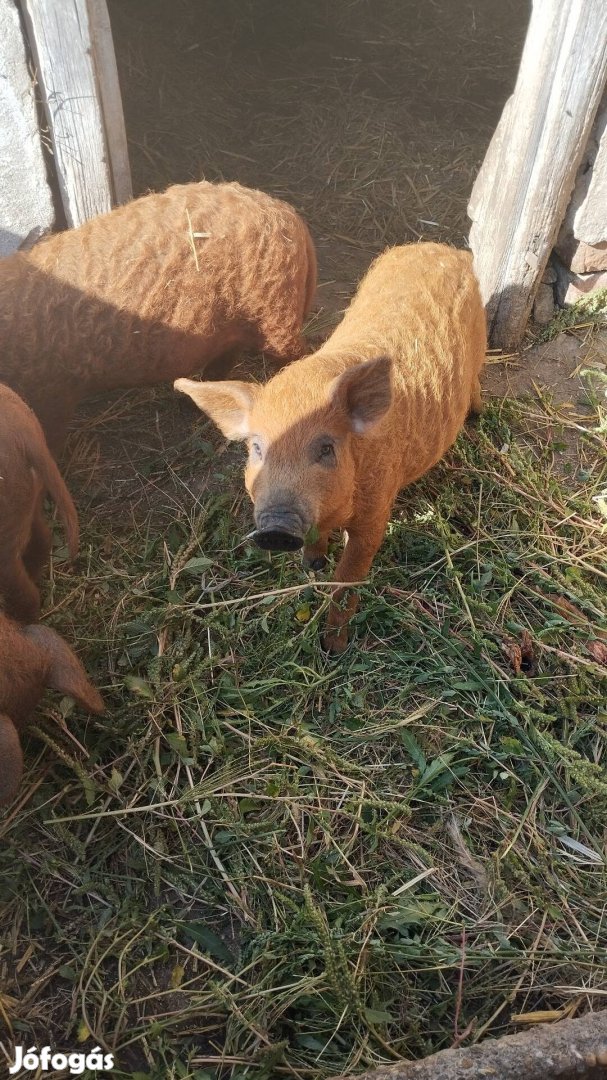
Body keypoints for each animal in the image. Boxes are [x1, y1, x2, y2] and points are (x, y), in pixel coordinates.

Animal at [174, 245, 481, 648]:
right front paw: (312, 565)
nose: (276, 526)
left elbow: (348, 577)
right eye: (256, 448)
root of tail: (445, 249)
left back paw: (478, 414)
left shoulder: (376, 513)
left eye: (325, 448)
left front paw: (333, 646)